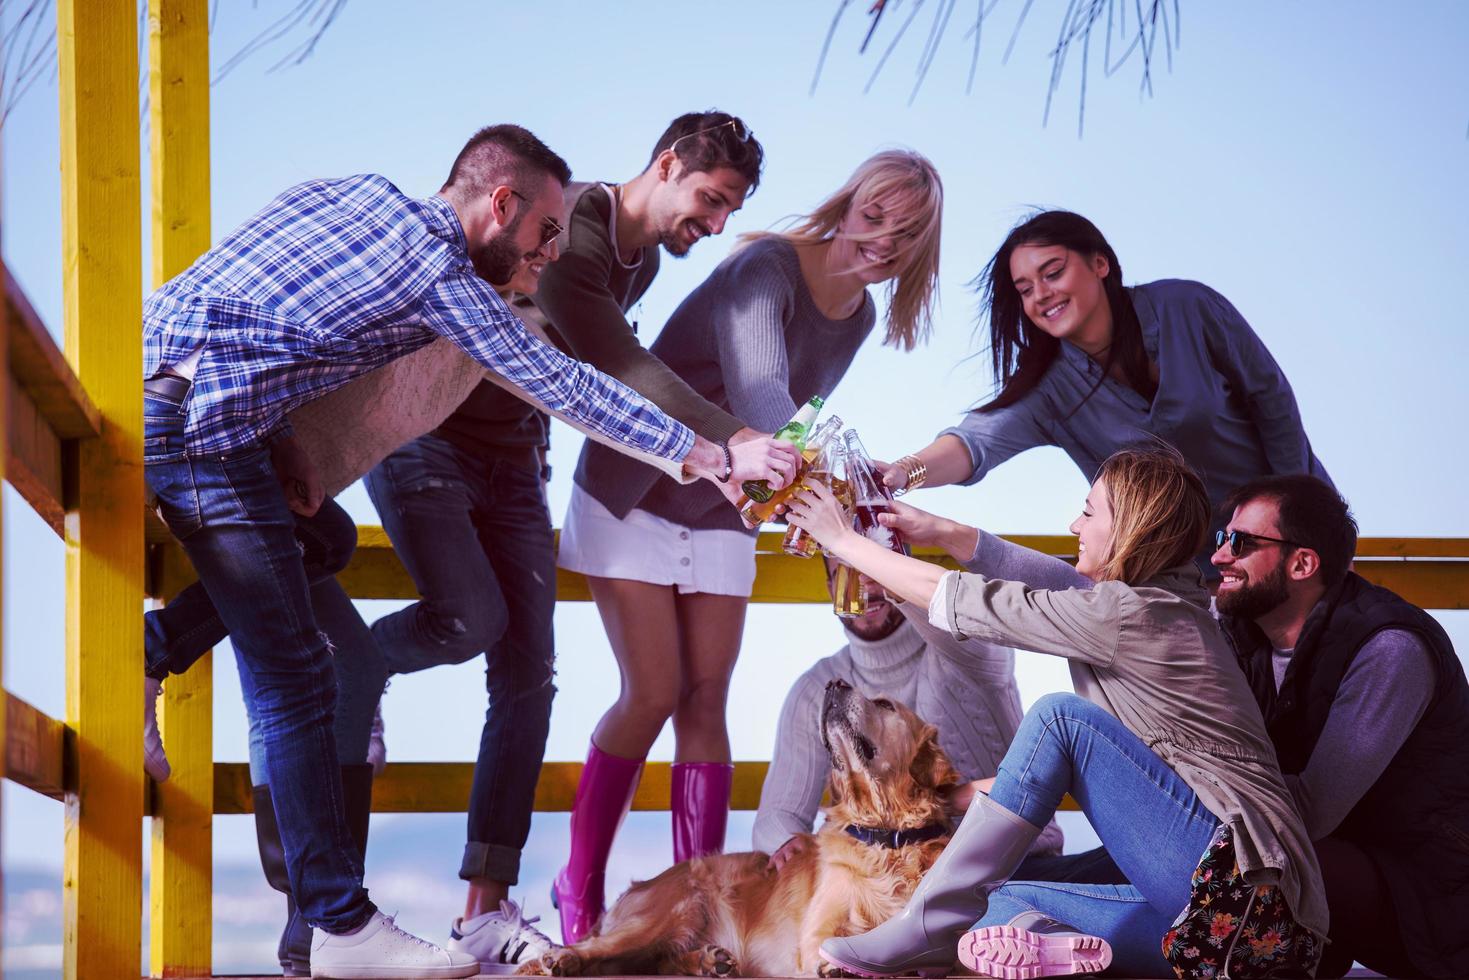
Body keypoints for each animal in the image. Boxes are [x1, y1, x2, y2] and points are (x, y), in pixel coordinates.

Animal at [520, 678, 963, 975]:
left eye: (885, 704)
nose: (834, 684)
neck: (887, 838)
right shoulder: (818, 928)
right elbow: (829, 944)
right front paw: (836, 966)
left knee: (654, 962)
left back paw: (709, 961)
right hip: (670, 910)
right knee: (602, 950)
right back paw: (563, 957)